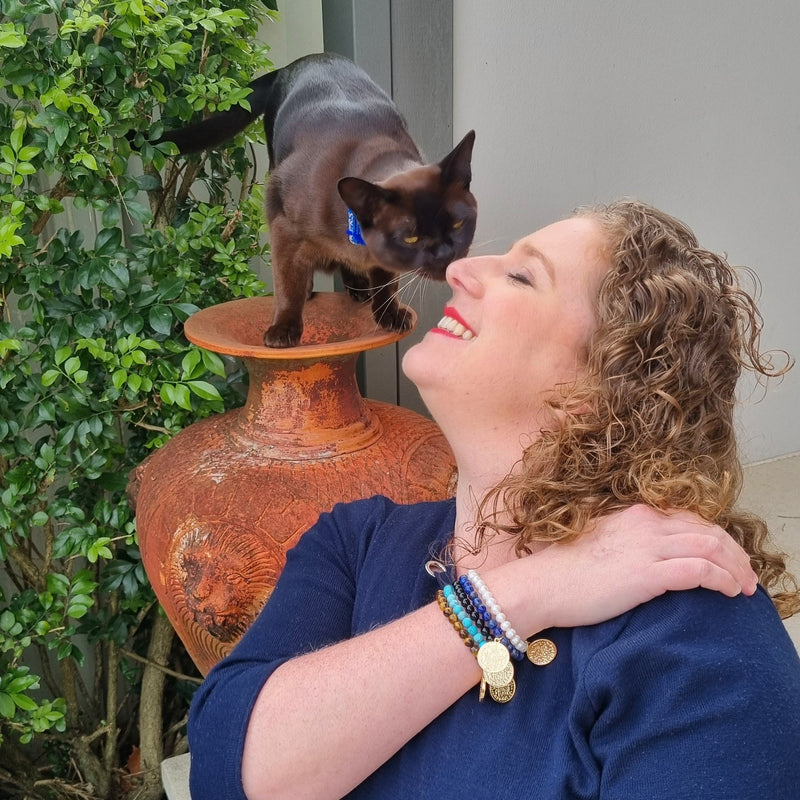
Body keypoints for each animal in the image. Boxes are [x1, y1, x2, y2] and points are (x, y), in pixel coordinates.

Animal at [159, 51, 478, 346]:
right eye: (411, 239)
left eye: (458, 224)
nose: (446, 254)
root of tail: (301, 61)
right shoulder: (284, 228)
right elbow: (288, 285)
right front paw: (282, 333)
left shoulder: (380, 259)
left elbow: (386, 281)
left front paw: (389, 315)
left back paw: (358, 289)